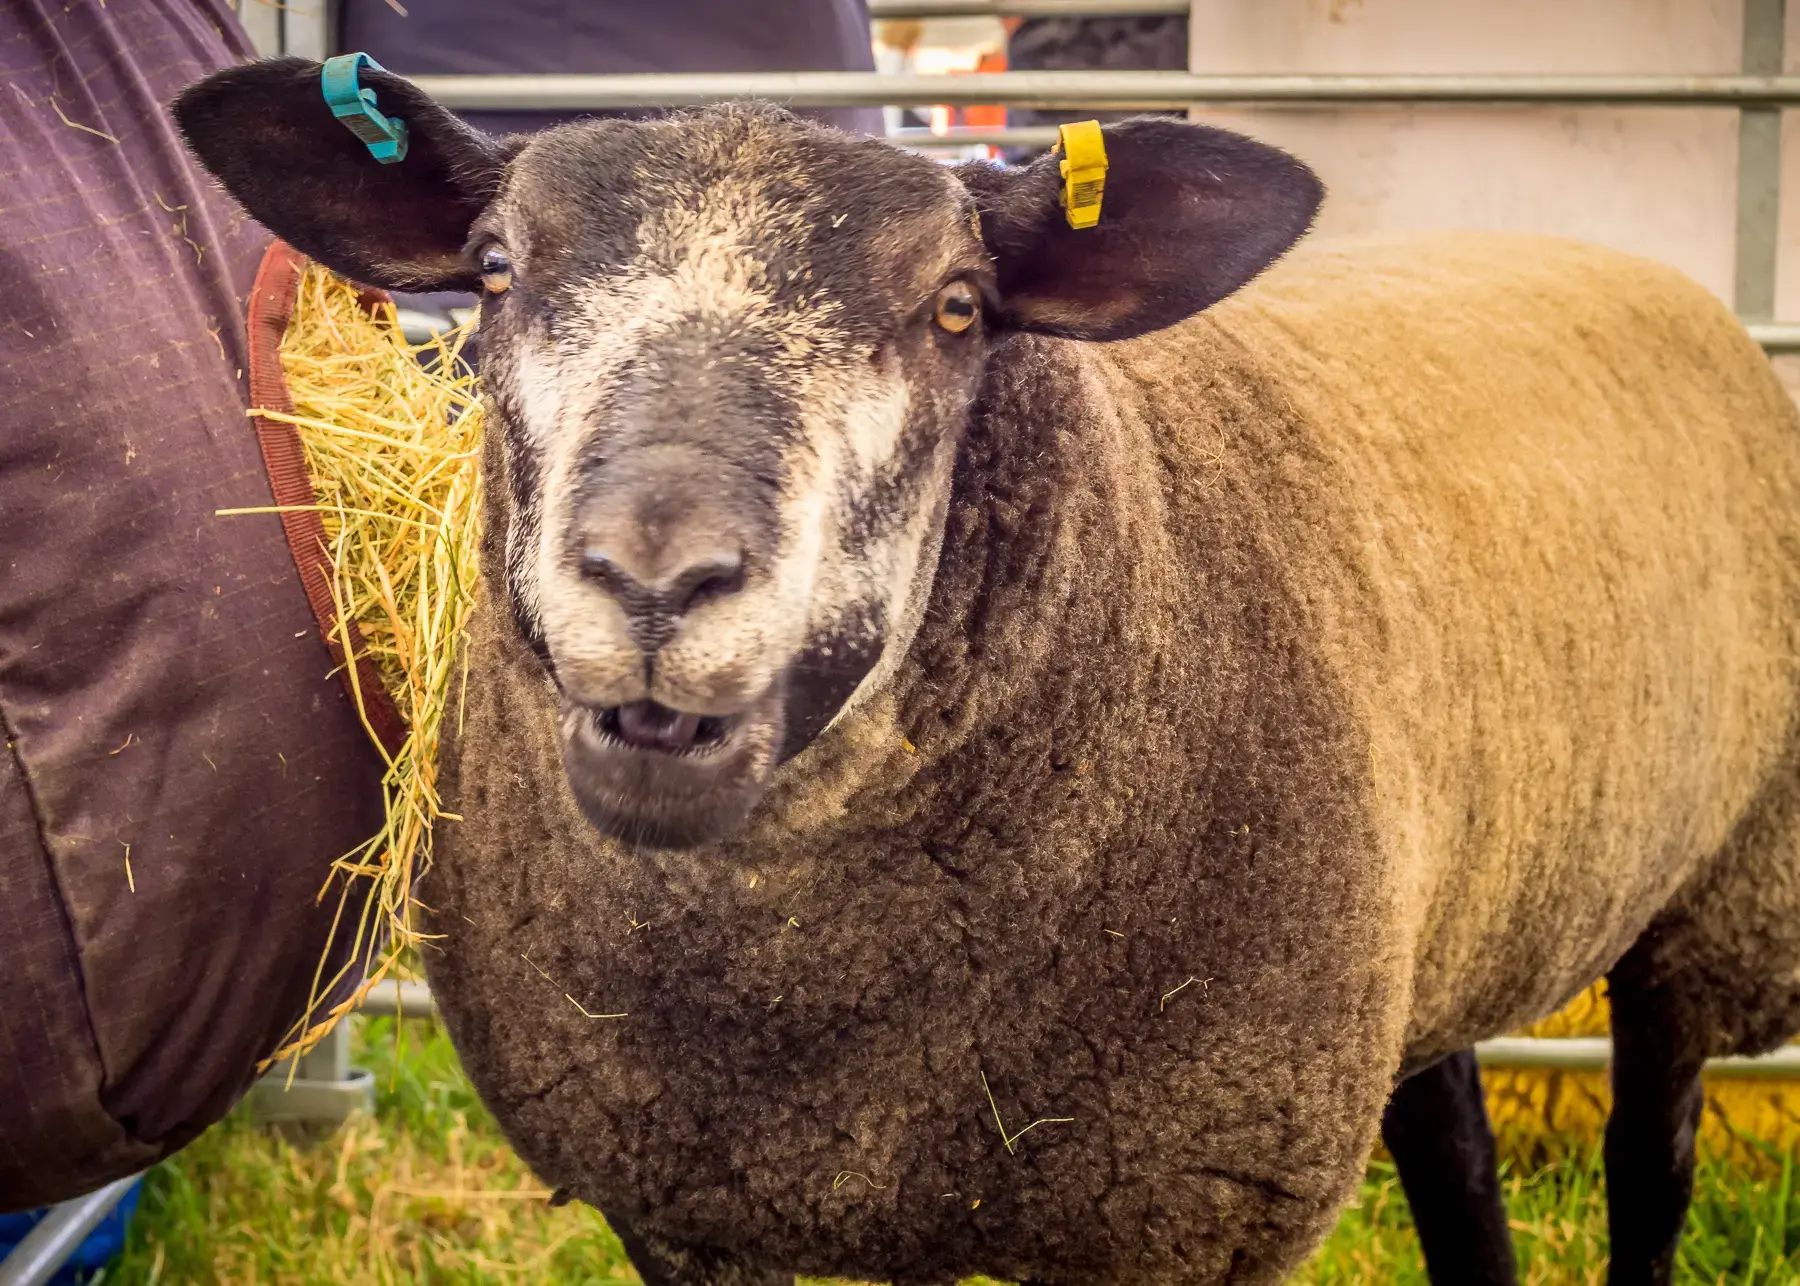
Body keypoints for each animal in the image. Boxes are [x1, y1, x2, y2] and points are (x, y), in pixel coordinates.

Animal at [175, 58, 1800, 1286]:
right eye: (498, 272)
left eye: (958, 306)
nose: (651, 579)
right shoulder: (707, 1203)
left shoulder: (1172, 1218)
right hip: (1440, 926)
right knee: (1452, 1137)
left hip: (1713, 893)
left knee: (1649, 1157)